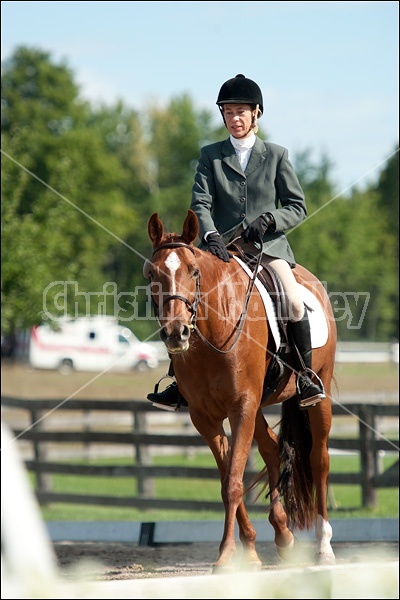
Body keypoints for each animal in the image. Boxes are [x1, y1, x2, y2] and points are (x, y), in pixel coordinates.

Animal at [145, 211, 336, 572]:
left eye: (193, 271)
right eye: (151, 273)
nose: (176, 332)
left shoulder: (241, 407)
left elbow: (234, 481)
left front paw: (226, 555)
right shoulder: (204, 417)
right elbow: (226, 480)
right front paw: (247, 550)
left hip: (320, 390)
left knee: (319, 459)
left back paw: (323, 546)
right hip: (259, 407)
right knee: (273, 449)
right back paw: (283, 535)